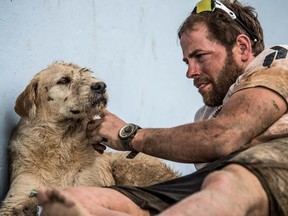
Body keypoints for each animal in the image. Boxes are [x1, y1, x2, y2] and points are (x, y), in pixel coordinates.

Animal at [0, 61, 178, 215]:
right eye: (63, 80)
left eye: (88, 75)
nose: (101, 85)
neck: (63, 141)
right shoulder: (18, 195)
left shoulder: (91, 187)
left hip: (124, 165)